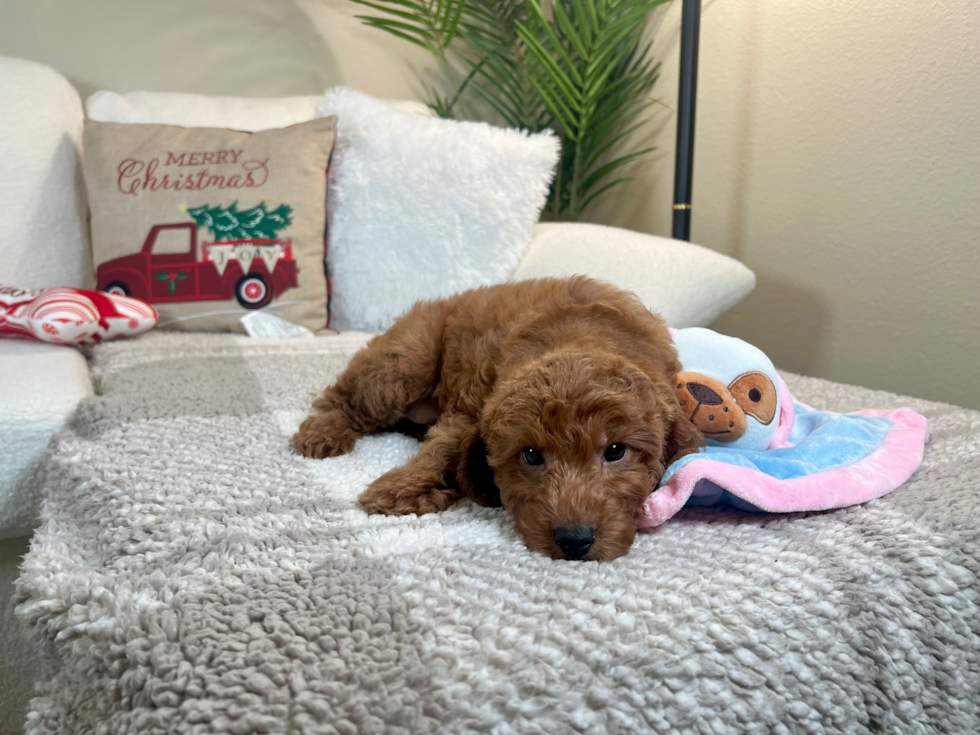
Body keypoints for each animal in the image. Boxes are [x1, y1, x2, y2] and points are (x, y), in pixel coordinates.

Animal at [292, 278, 704, 560]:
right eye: (531, 455)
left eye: (616, 451)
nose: (574, 540)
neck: (581, 335)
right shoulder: (470, 406)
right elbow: (444, 444)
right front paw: (404, 487)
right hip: (406, 360)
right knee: (342, 398)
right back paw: (322, 433)